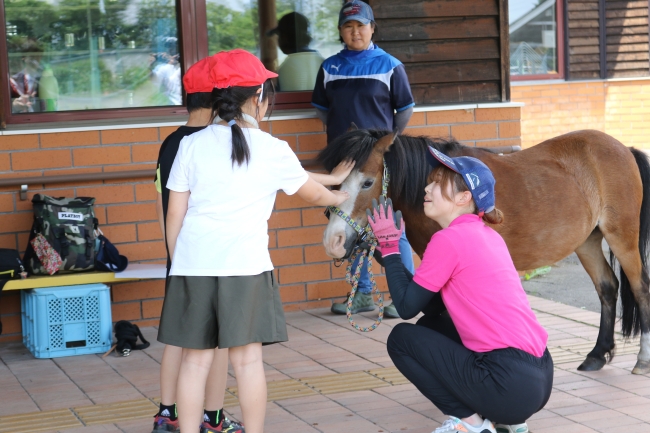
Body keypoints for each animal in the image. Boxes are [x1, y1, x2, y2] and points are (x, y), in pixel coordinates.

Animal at [318, 128, 648, 374]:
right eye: (336, 182)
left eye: (367, 182)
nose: (333, 241)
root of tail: (623, 147)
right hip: (587, 242)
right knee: (608, 287)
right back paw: (596, 355)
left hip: (622, 237)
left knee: (640, 287)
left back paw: (642, 360)